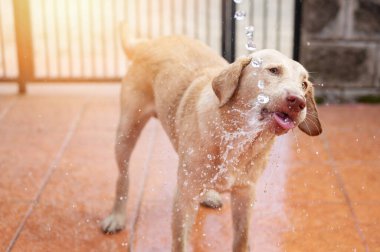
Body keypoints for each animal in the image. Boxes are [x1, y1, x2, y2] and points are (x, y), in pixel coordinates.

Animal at [100, 34, 320, 252]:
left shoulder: (245, 194)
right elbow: (180, 242)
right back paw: (117, 216)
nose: (298, 102)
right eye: (273, 70)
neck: (236, 136)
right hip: (126, 131)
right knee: (123, 176)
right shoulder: (184, 196)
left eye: (304, 84)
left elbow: (241, 239)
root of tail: (148, 43)